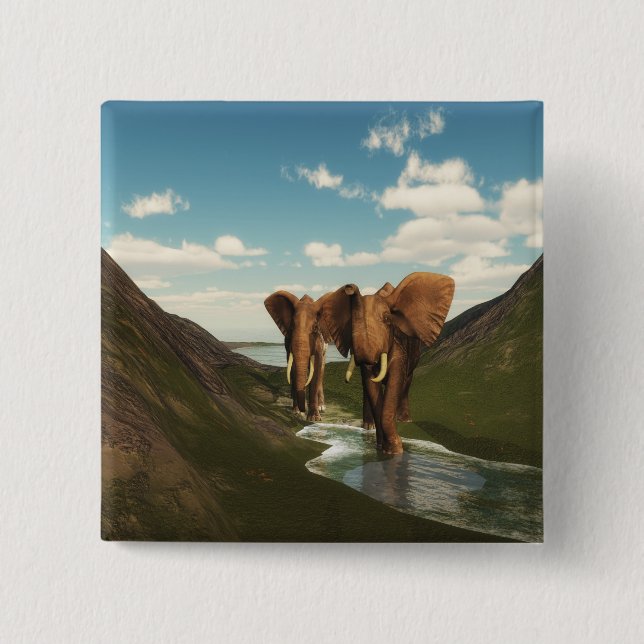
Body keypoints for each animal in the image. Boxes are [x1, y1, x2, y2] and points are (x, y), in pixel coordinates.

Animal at [264, 291, 330, 421]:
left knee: (321, 370)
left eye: (316, 328)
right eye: (291, 327)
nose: (302, 409)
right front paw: (297, 412)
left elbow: (317, 366)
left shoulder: (319, 342)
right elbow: (293, 368)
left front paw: (314, 418)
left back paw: (321, 407)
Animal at [319, 272, 455, 454]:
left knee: (407, 381)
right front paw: (384, 448)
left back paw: (404, 420)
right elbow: (371, 386)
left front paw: (395, 451)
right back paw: (368, 426)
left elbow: (395, 383)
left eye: (387, 319)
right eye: (351, 323)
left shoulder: (399, 347)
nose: (349, 288)